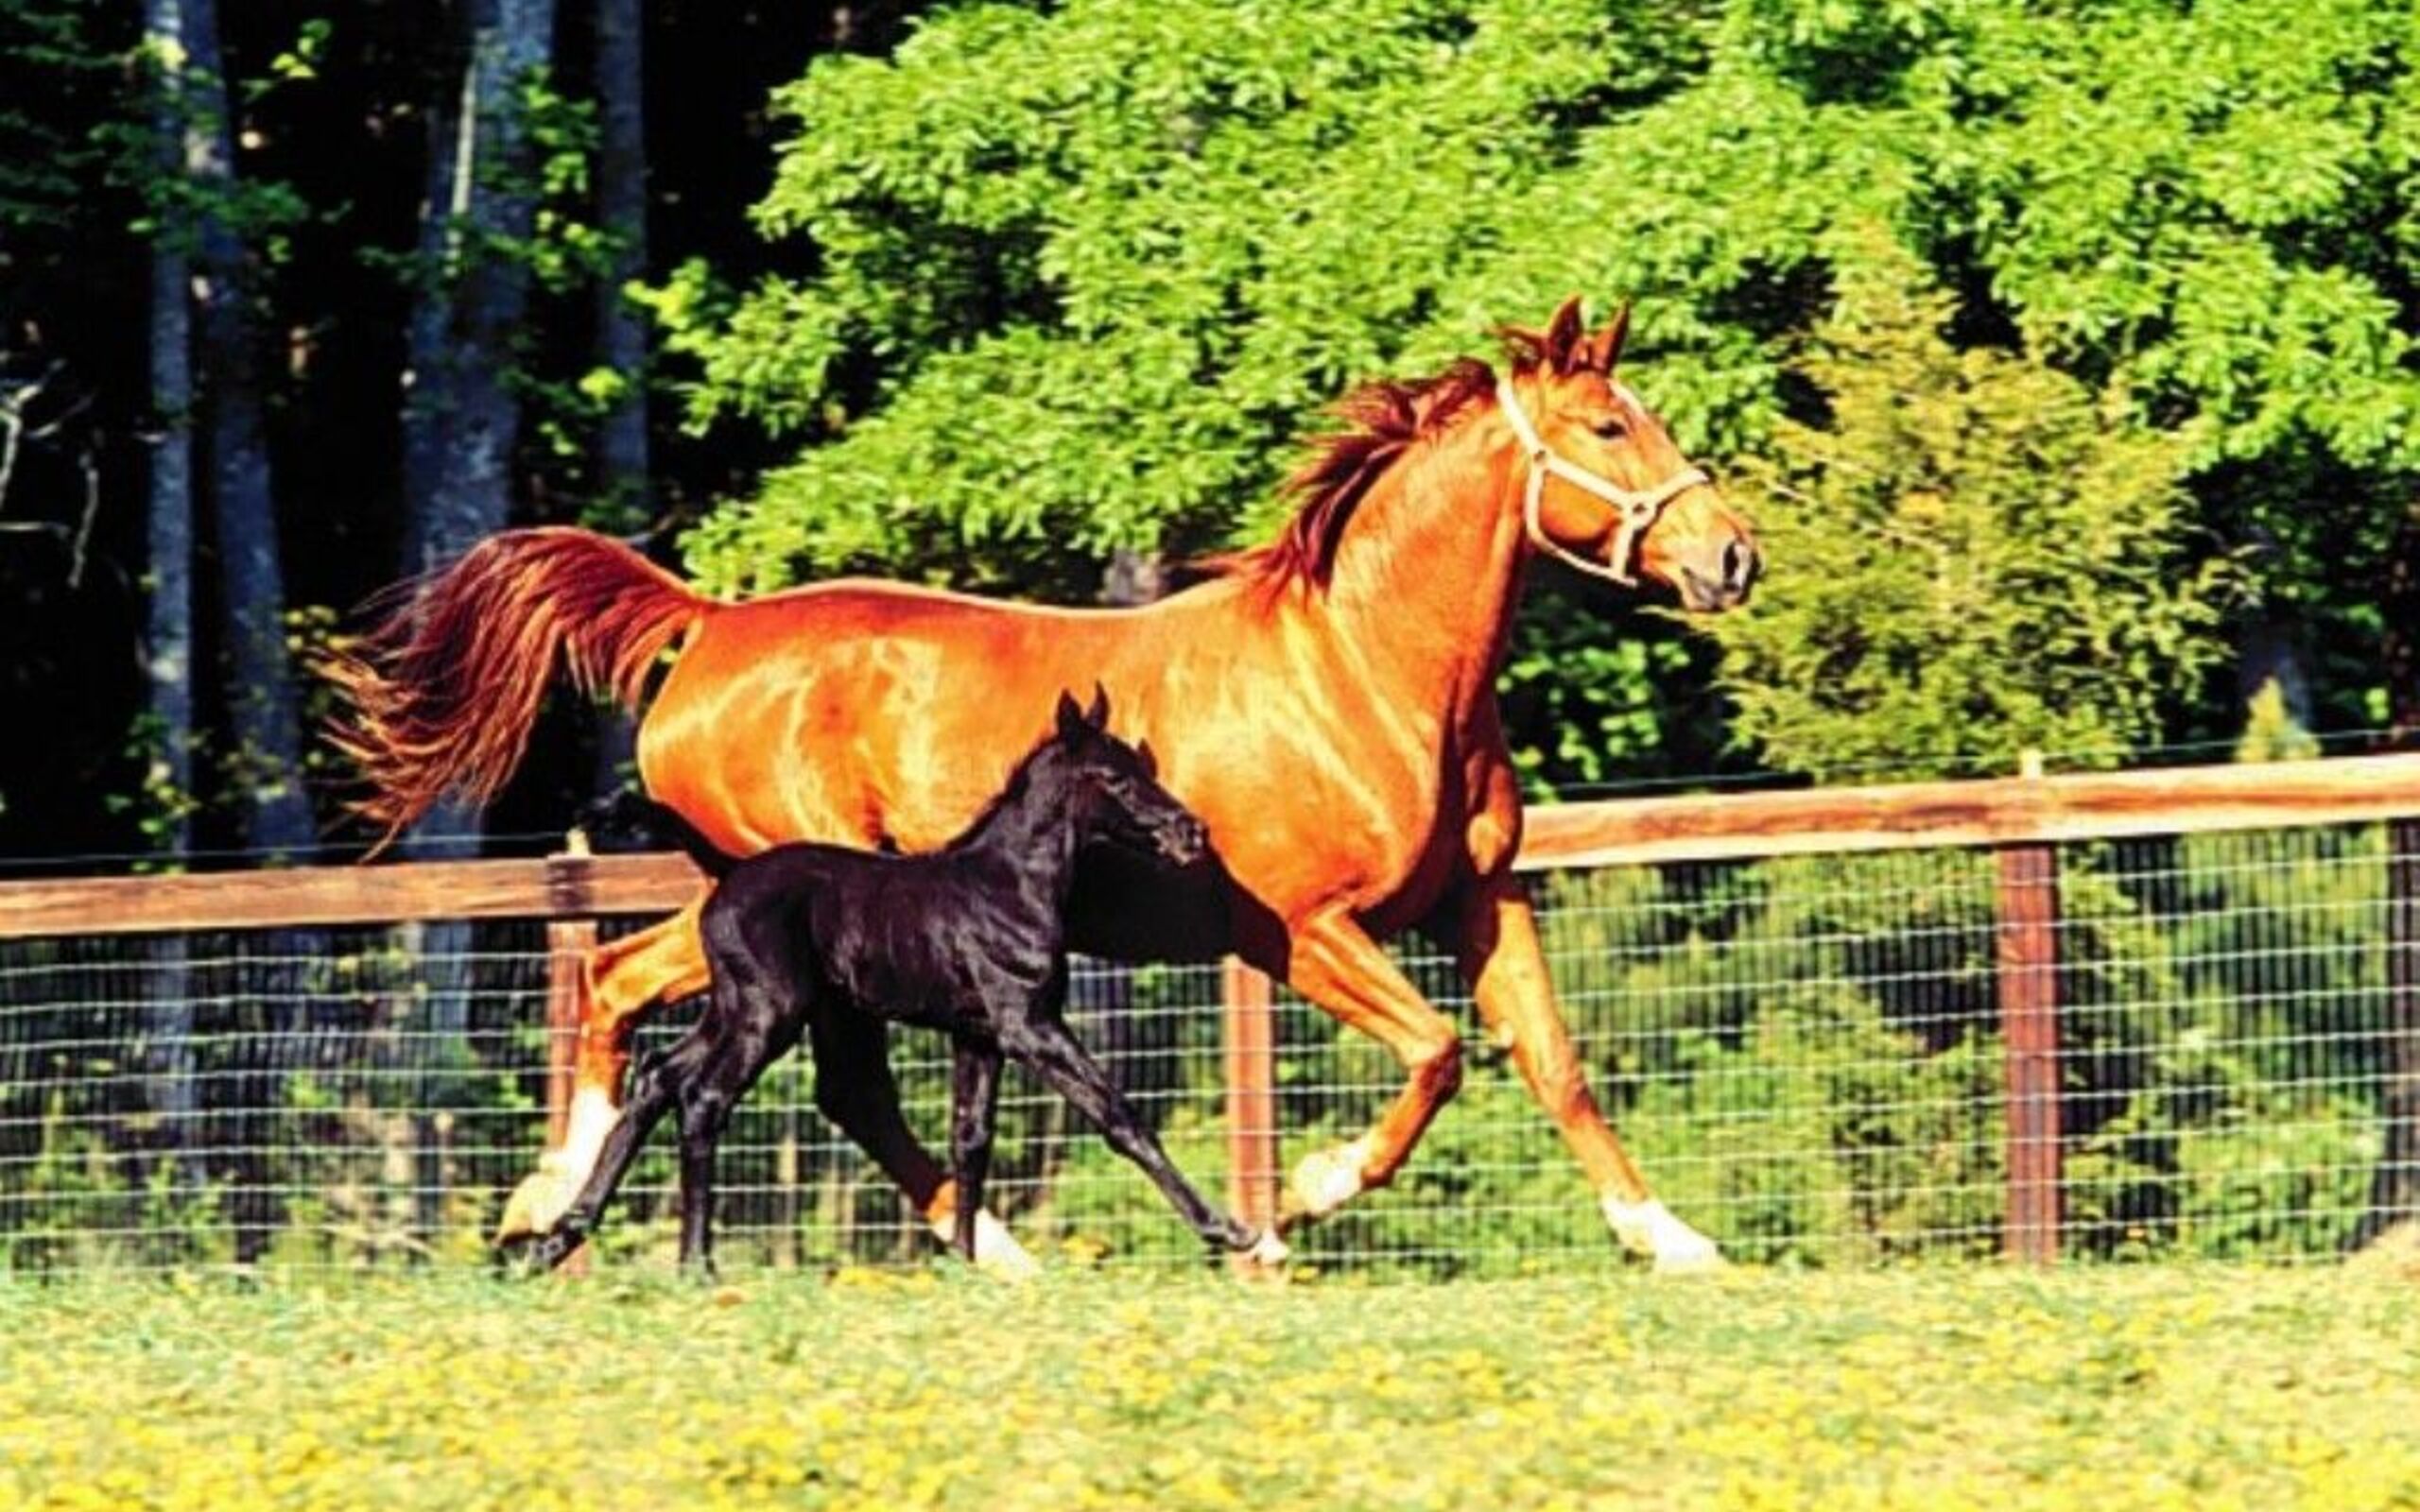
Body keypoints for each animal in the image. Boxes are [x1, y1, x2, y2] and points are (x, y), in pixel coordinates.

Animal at [527, 687, 1287, 1277]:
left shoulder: (978, 1036)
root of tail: (728, 874)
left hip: (734, 1008)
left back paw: (559, 1238)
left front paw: (966, 1265)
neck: (1009, 886)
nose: (1192, 832)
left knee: (659, 1075)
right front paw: (1230, 1230)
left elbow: (970, 1140)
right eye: (1116, 776)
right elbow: (1118, 1115)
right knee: (703, 1097)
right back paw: (695, 1265)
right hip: (769, 1012)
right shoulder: (1029, 1024)